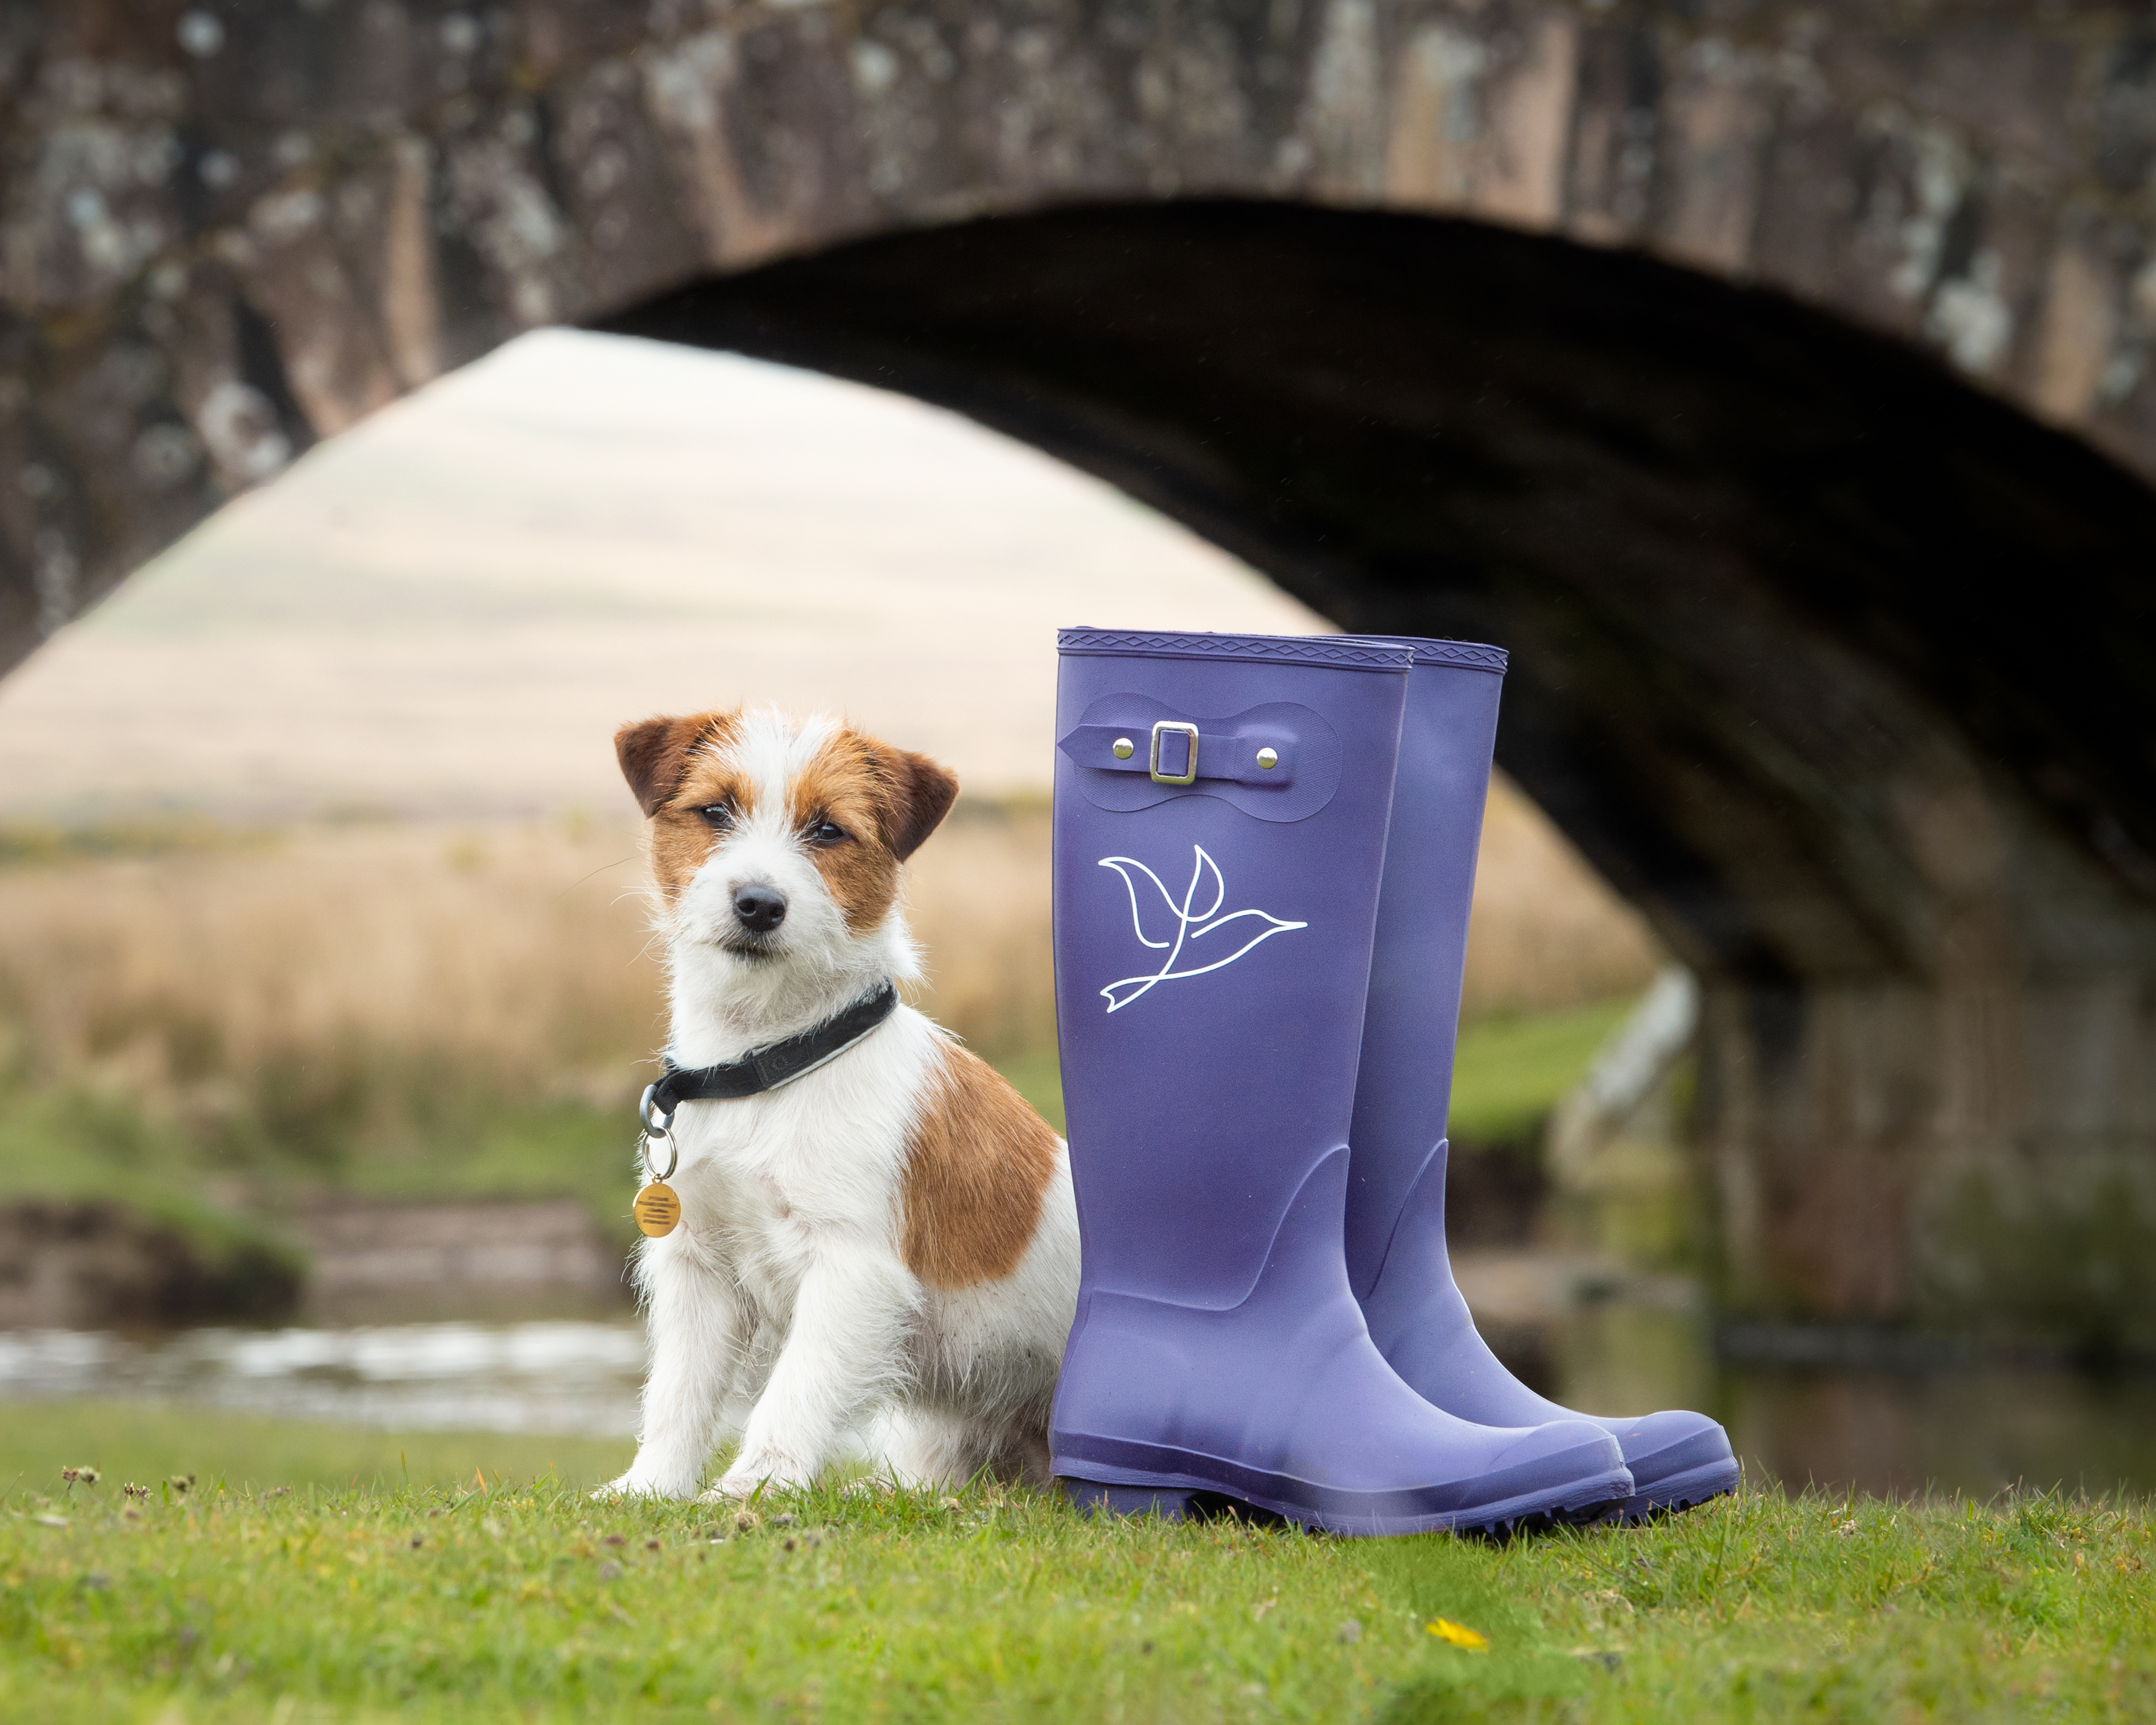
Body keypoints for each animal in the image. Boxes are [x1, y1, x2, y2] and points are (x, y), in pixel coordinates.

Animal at [599, 698, 1078, 1492]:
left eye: (827, 829)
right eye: (715, 811)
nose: (758, 903)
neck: (765, 1062)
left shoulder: (850, 1270)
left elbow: (796, 1387)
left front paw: (750, 1488)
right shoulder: (700, 1264)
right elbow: (679, 1392)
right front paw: (649, 1487)